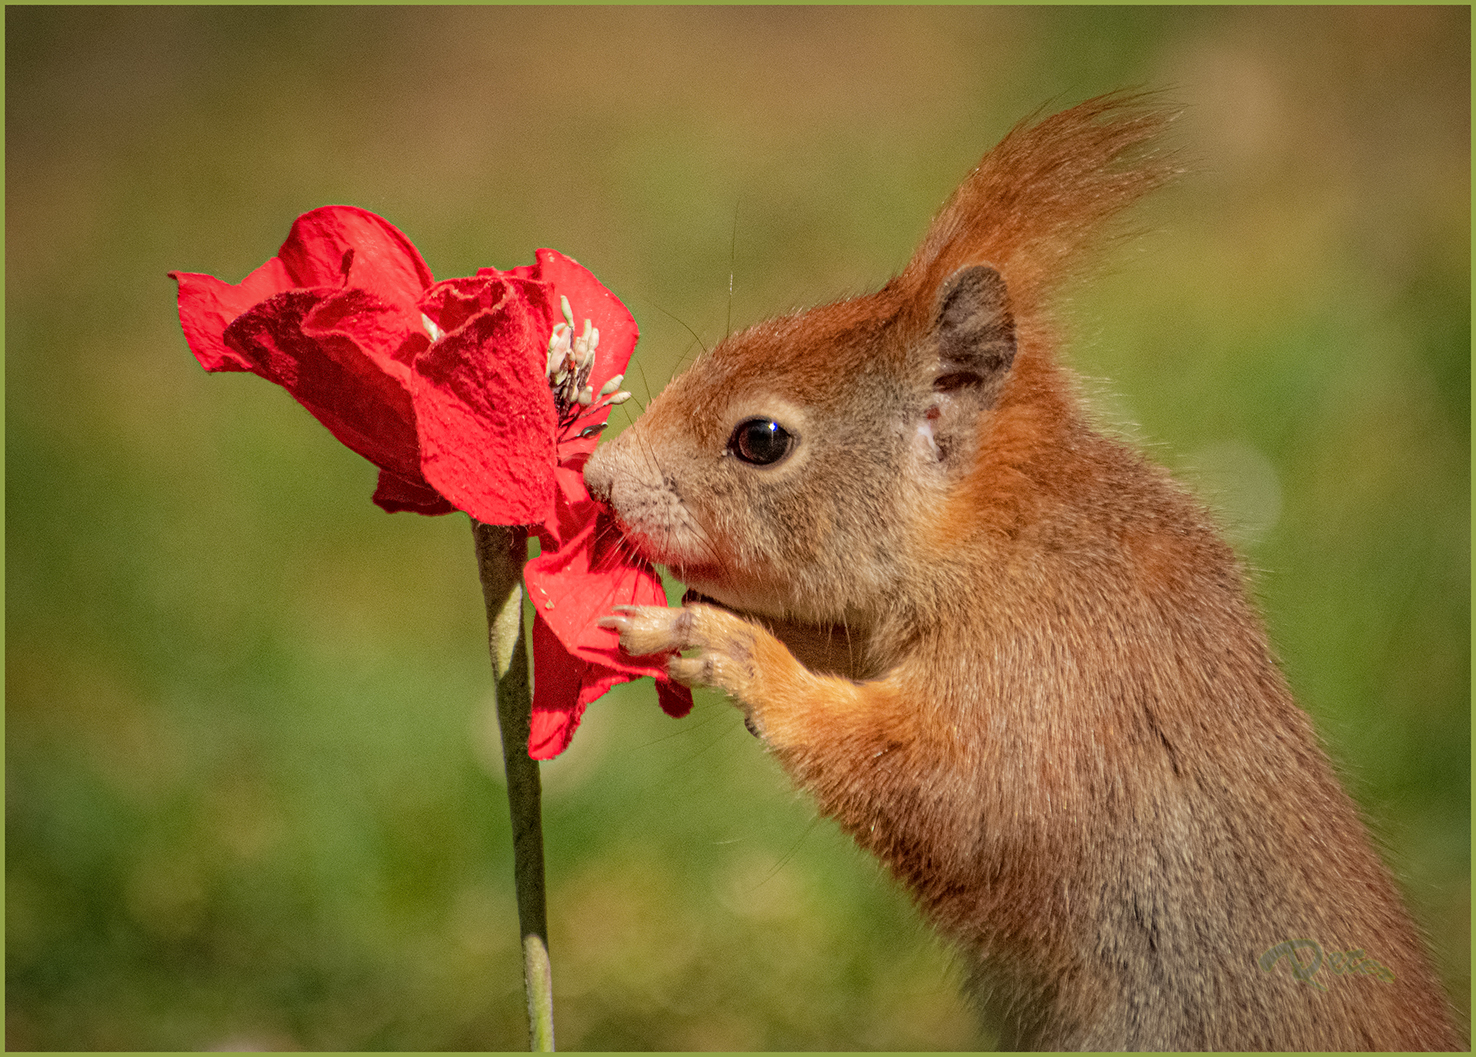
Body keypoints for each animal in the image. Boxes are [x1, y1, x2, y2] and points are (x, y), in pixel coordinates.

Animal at [581, 96, 1458, 1051]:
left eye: (762, 440)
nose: (600, 477)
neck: (1003, 537)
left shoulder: (1048, 677)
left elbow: (946, 796)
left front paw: (734, 651)